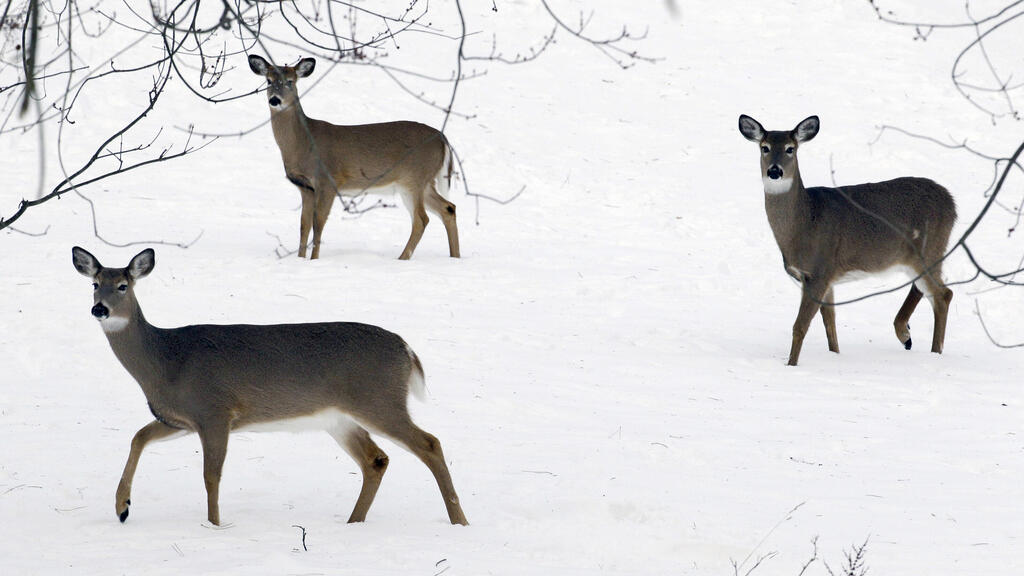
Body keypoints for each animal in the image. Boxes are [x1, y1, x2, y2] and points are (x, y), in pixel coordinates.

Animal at [71, 243, 468, 522]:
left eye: (123, 285)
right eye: (94, 284)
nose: (99, 309)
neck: (167, 361)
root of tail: (406, 349)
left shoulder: (215, 409)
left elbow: (211, 475)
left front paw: (214, 525)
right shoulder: (181, 418)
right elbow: (138, 436)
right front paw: (122, 506)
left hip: (379, 399)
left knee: (429, 443)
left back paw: (458, 521)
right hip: (340, 418)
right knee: (376, 459)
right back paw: (353, 522)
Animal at [247, 54, 460, 259]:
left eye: (290, 81)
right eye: (268, 81)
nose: (275, 100)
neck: (304, 143)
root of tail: (443, 139)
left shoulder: (328, 180)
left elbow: (318, 223)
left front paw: (314, 260)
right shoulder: (306, 187)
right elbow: (304, 225)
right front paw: (300, 259)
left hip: (413, 178)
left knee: (421, 219)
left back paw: (402, 258)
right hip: (423, 181)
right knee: (448, 208)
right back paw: (454, 257)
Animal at [741, 114, 954, 364]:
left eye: (790, 149)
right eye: (764, 147)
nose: (775, 171)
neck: (805, 223)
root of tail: (952, 203)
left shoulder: (819, 271)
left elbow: (800, 326)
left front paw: (791, 364)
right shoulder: (826, 278)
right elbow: (830, 324)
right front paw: (834, 354)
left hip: (929, 249)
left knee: (943, 295)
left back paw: (934, 351)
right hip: (918, 257)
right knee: (926, 289)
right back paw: (906, 336)